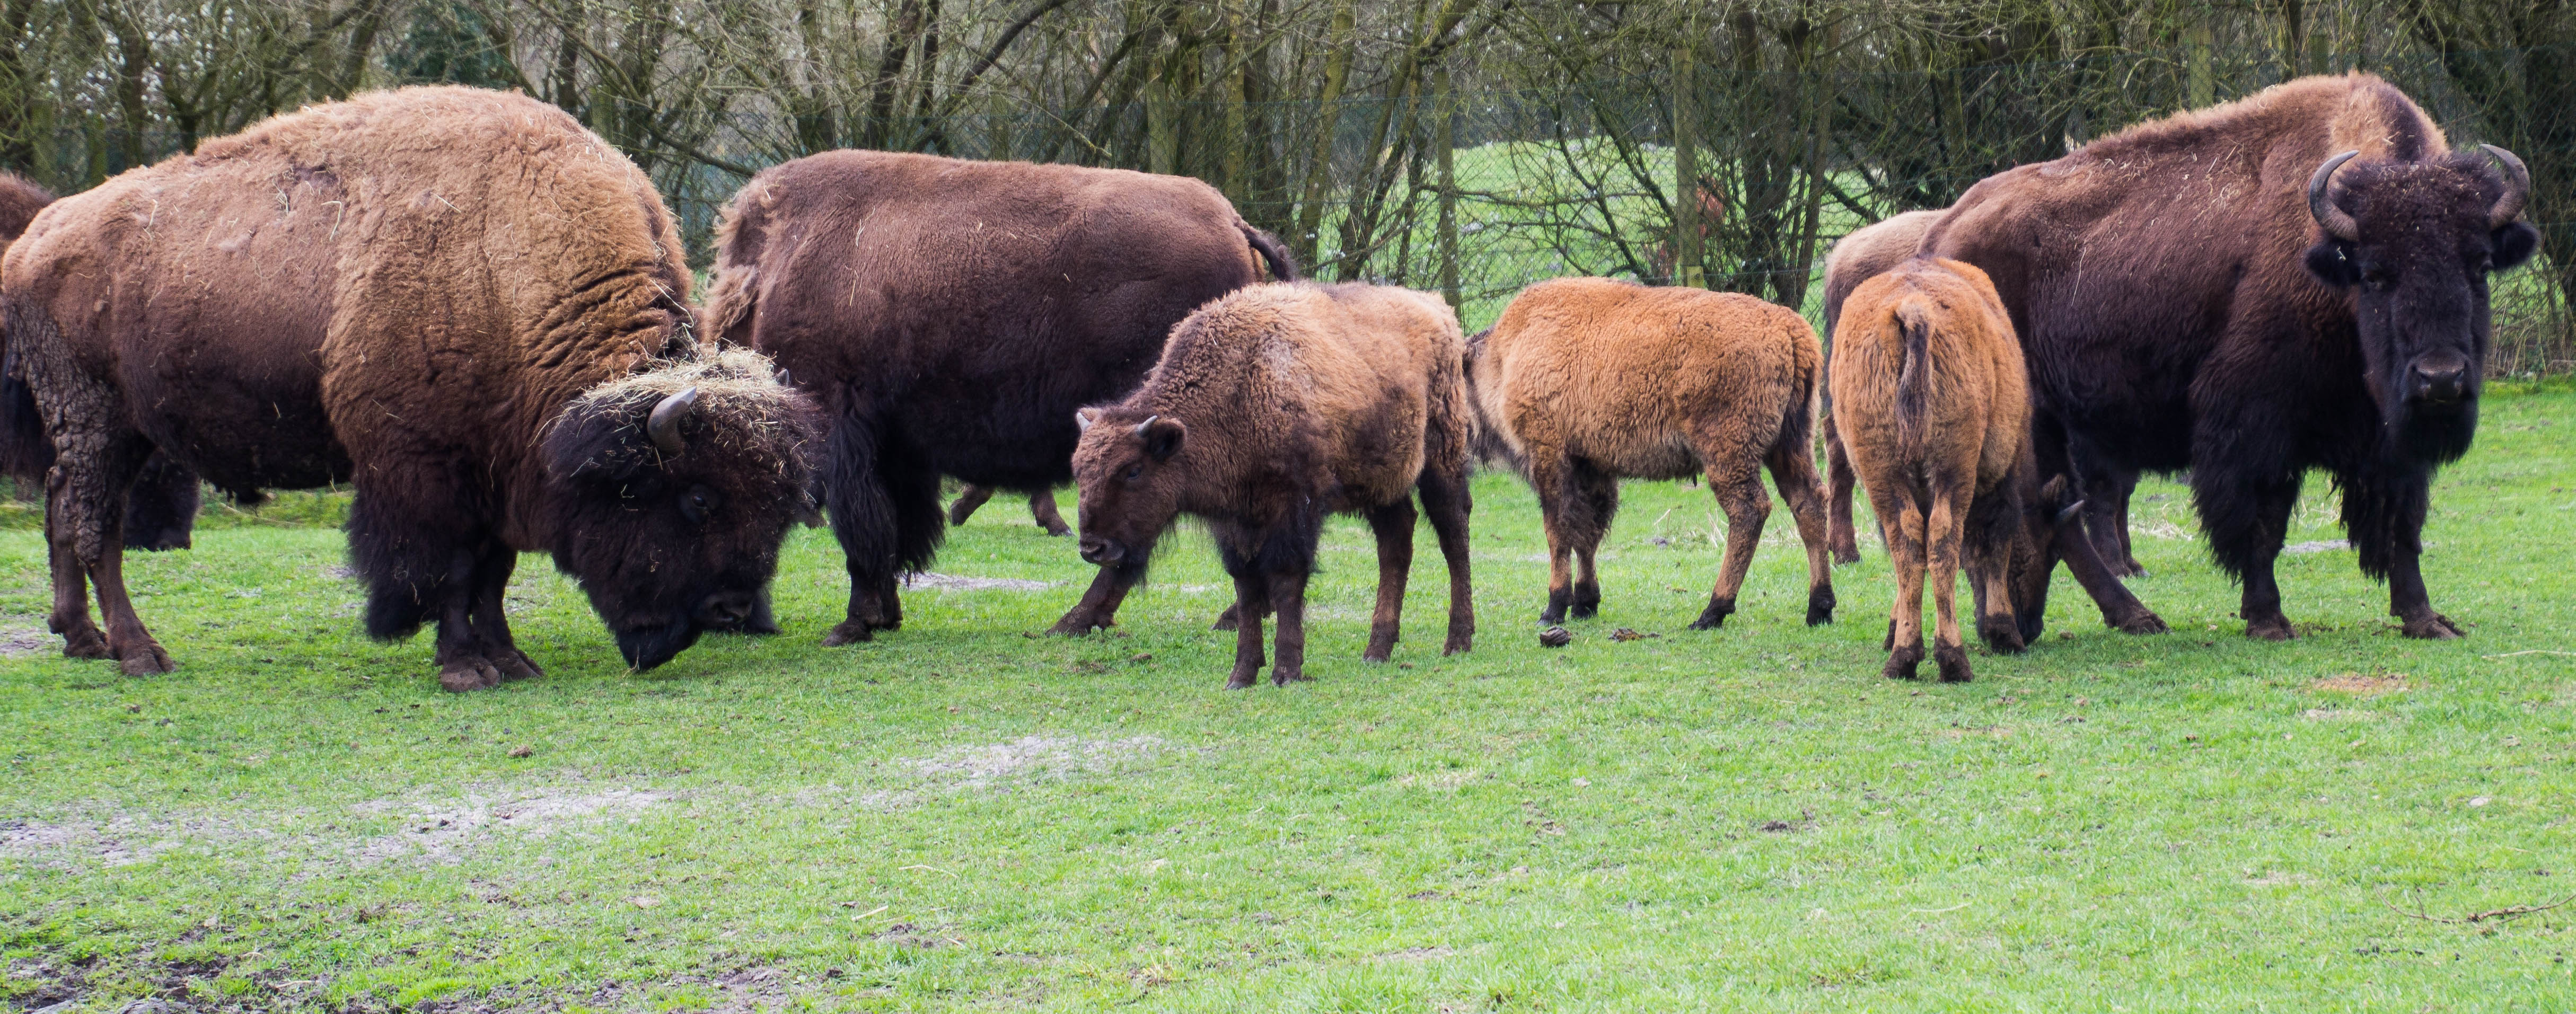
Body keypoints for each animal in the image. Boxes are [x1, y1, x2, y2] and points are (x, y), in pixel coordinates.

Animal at [1, 86, 821, 688]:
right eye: (698, 498)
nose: (729, 608)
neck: (506, 263)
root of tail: (35, 240)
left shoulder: (499, 466)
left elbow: (493, 572)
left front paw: (511, 659)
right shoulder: (423, 469)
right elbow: (449, 570)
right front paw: (466, 667)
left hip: (122, 428)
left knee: (61, 507)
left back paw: (82, 639)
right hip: (96, 415)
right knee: (96, 527)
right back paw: (139, 652)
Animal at [705, 152, 1294, 645]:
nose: (729, 617)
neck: (775, 265)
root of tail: (1233, 224)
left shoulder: (842, 431)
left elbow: (863, 533)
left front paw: (854, 623)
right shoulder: (895, 448)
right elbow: (894, 528)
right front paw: (884, 615)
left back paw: (1079, 621)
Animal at [1921, 73, 2535, 641]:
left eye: (2480, 266)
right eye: (2376, 274)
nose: (2440, 379)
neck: (2328, 263)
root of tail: (1939, 236)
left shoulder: (2389, 440)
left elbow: (2400, 524)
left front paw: (2424, 618)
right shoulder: (2253, 425)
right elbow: (2261, 523)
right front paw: (2268, 619)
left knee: (2046, 517)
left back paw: (2107, 618)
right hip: (2024, 422)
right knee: (2030, 518)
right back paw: (2089, 618)